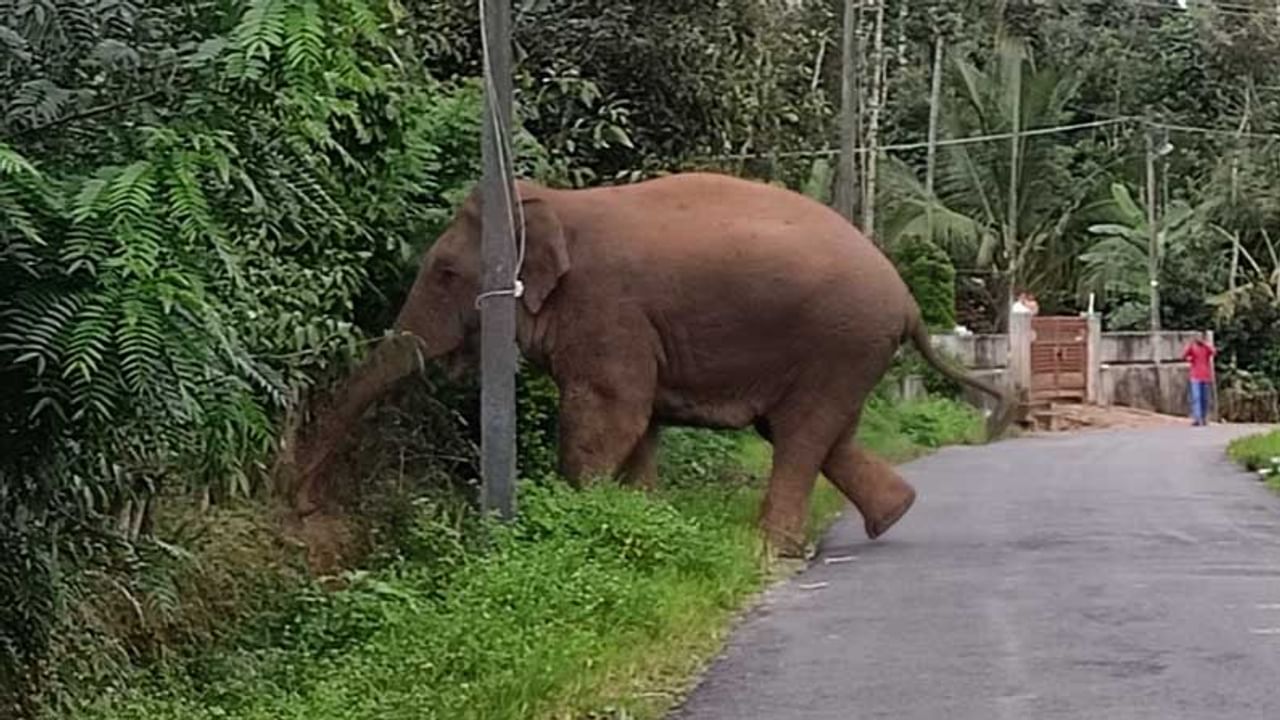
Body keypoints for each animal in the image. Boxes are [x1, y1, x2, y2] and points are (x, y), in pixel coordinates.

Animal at [285, 170, 1013, 550]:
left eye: (443, 273)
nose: (300, 506)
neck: (555, 202)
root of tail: (907, 298)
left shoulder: (609, 310)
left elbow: (610, 414)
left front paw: (581, 524)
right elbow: (638, 423)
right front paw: (644, 516)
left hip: (841, 339)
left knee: (803, 433)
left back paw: (768, 547)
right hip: (847, 350)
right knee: (814, 431)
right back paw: (892, 516)